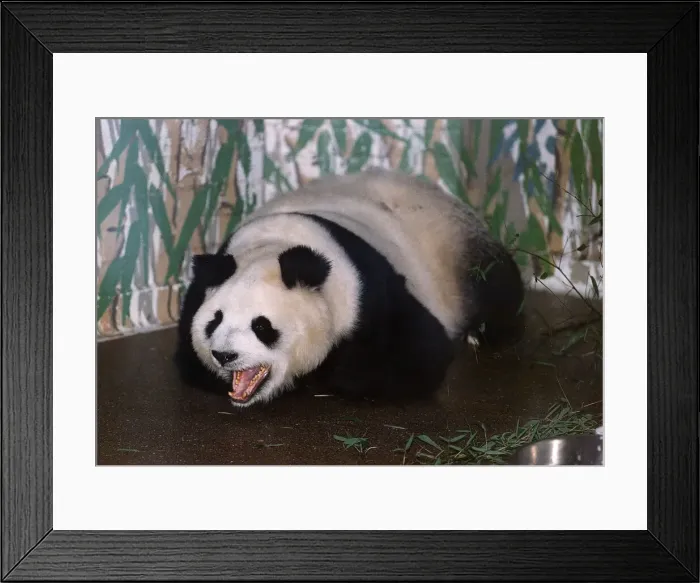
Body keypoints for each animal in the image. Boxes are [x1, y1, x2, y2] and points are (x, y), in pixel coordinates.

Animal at [175, 168, 525, 409]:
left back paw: (482, 331)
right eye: (214, 321)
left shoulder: (370, 292)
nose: (224, 354)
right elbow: (190, 363)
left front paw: (330, 372)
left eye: (261, 326)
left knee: (498, 286)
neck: (277, 246)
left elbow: (415, 357)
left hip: (455, 250)